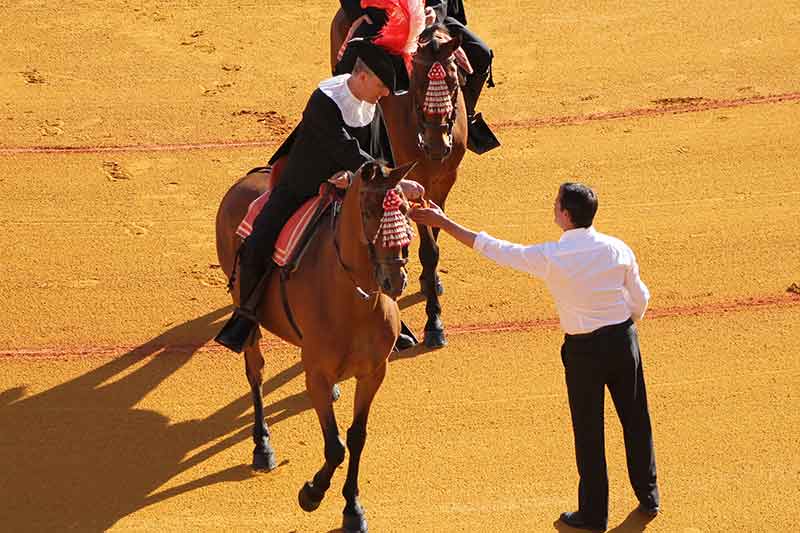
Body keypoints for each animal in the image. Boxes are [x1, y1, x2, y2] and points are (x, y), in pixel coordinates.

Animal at [216, 160, 418, 528]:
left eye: (407, 210)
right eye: (368, 211)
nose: (395, 280)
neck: (354, 301)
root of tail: (246, 180)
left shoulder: (373, 373)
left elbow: (356, 437)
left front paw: (353, 509)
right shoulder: (317, 375)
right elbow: (335, 445)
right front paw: (311, 493)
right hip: (246, 315)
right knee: (255, 372)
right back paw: (262, 447)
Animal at [332, 13, 468, 350]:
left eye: (454, 80)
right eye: (417, 82)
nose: (436, 146)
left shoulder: (445, 179)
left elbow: (436, 232)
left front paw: (431, 283)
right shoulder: (416, 176)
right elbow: (429, 249)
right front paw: (434, 324)